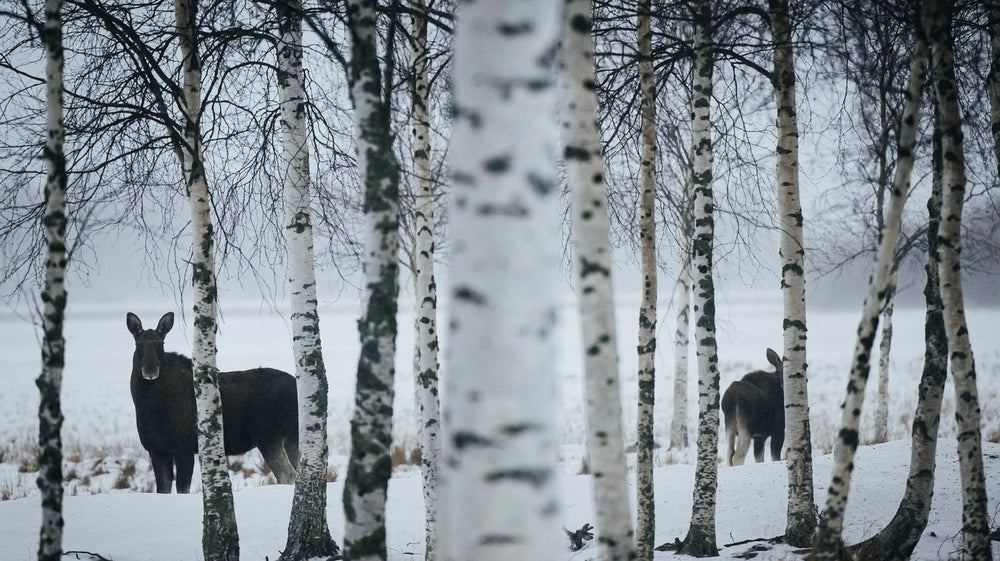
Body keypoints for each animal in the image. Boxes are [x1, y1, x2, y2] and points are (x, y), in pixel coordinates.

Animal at [126, 310, 296, 490]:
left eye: (161, 344)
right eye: (138, 344)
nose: (150, 370)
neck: (148, 406)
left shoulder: (184, 448)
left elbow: (182, 489)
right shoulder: (156, 450)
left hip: (270, 436)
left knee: (288, 475)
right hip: (293, 435)